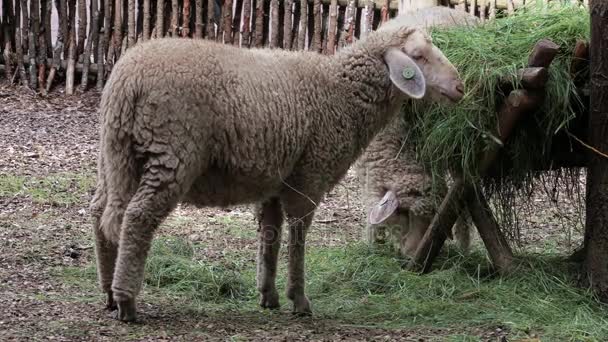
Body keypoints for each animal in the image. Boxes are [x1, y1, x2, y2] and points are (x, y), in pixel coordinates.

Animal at [89, 22, 466, 322]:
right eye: (418, 56)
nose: (461, 87)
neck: (342, 92)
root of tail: (127, 82)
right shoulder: (310, 176)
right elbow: (297, 236)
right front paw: (298, 299)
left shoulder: (273, 180)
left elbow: (269, 235)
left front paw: (267, 294)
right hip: (171, 153)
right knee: (137, 217)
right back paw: (126, 301)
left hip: (116, 154)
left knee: (101, 211)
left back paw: (107, 291)